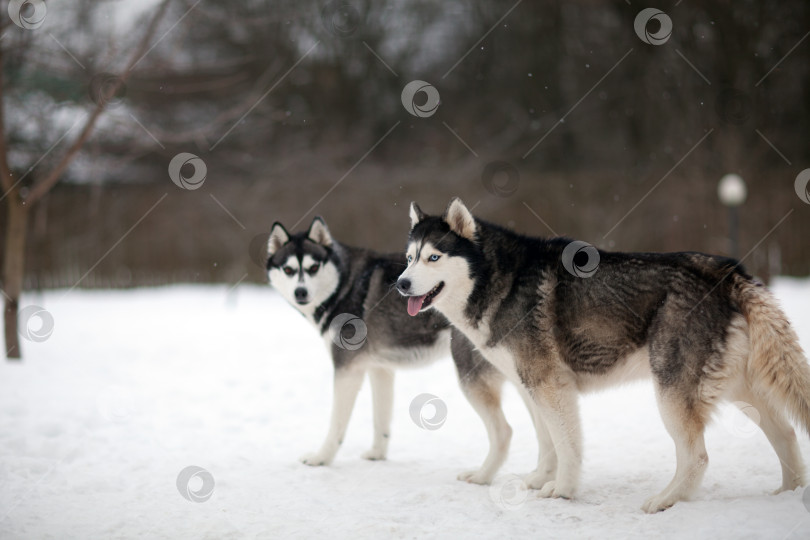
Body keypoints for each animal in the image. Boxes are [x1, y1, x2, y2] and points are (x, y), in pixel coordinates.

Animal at [266, 215, 512, 480]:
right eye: (289, 270)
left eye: (313, 268)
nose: (300, 292)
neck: (344, 284)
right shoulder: (380, 368)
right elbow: (381, 418)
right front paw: (377, 454)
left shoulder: (347, 370)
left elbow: (337, 424)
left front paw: (321, 458)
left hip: (471, 375)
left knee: (504, 431)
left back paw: (482, 477)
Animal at [398, 198, 808, 510]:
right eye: (409, 257)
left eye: (433, 258)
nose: (401, 283)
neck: (499, 280)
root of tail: (725, 271)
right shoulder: (532, 387)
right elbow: (547, 441)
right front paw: (539, 479)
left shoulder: (550, 386)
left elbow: (566, 445)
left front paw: (562, 490)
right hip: (738, 388)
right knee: (787, 433)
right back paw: (788, 493)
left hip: (672, 392)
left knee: (698, 456)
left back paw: (665, 500)